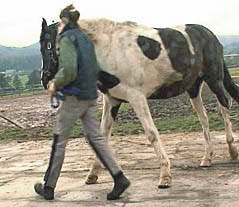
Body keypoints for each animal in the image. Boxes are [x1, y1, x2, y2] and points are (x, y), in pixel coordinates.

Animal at [40, 18, 239, 188]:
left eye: (50, 45)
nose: (45, 80)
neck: (110, 50)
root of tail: (211, 35)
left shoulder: (137, 97)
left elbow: (151, 134)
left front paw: (165, 176)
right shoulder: (112, 100)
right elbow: (102, 136)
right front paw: (92, 175)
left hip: (214, 80)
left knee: (224, 106)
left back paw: (232, 151)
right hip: (193, 88)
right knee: (204, 118)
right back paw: (207, 158)